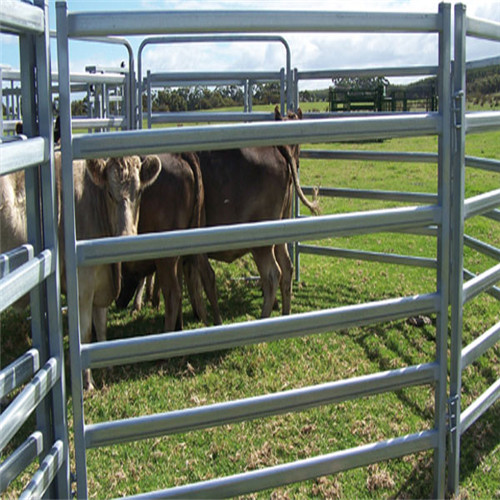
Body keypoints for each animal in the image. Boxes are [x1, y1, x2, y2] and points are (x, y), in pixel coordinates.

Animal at [116, 152, 222, 332]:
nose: (119, 303)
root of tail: (180, 156)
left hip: (168, 254)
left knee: (173, 292)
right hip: (197, 236)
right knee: (207, 276)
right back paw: (217, 323)